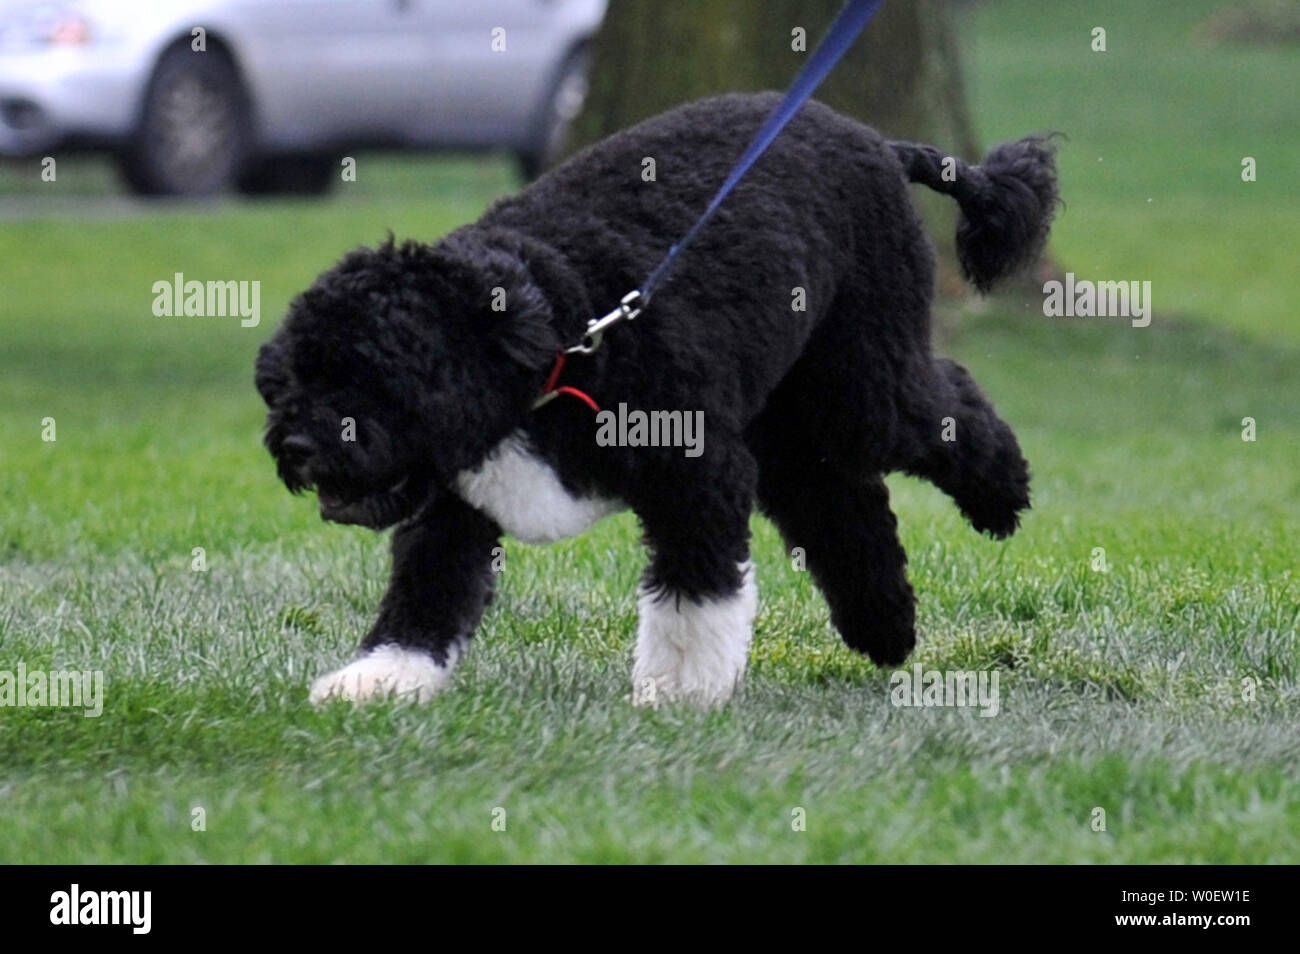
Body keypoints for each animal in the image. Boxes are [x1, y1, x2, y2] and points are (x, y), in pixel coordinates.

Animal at [253, 95, 1055, 712]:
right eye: (289, 378)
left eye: (372, 373)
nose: (296, 447)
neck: (560, 334)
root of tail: (878, 142)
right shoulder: (455, 503)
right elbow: (424, 598)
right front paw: (379, 681)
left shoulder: (697, 474)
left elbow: (694, 597)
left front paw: (678, 692)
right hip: (791, 423)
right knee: (840, 502)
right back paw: (883, 627)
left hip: (859, 385)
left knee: (947, 403)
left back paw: (1003, 497)